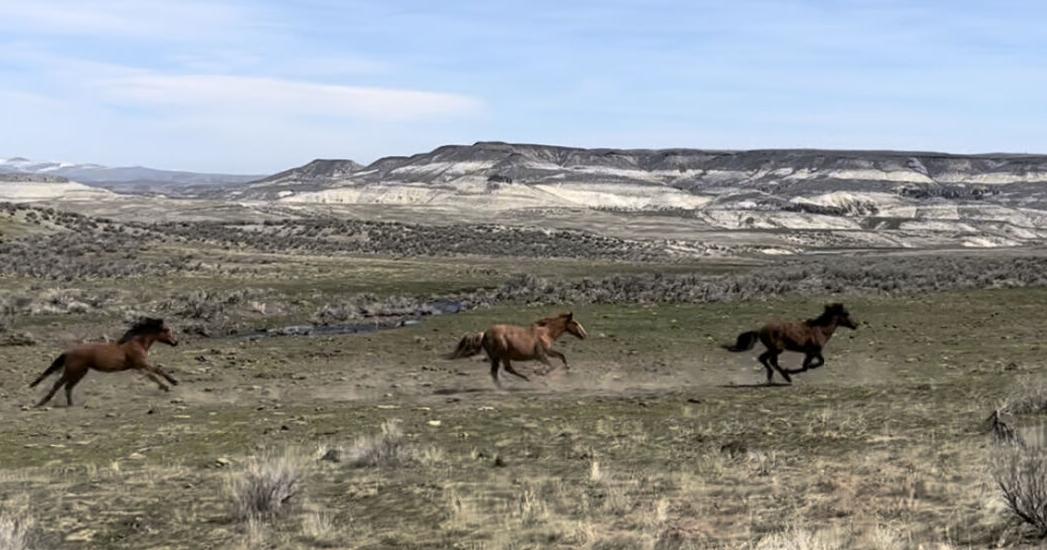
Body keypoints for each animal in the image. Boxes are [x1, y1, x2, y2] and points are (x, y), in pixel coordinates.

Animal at [30, 318, 180, 407]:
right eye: (167, 330)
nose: (175, 343)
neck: (136, 343)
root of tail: (69, 352)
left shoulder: (137, 366)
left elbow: (153, 374)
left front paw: (168, 384)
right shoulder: (141, 364)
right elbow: (157, 371)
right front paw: (170, 384)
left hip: (80, 372)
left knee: (67, 386)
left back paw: (70, 404)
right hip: (73, 371)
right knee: (59, 384)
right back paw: (44, 402)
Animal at [445, 312, 588, 388]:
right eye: (575, 323)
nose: (584, 335)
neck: (545, 332)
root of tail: (484, 334)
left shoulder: (548, 351)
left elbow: (561, 356)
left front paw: (568, 369)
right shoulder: (540, 355)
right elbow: (550, 366)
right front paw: (541, 373)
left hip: (501, 357)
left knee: (503, 370)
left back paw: (520, 380)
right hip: (500, 355)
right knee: (499, 371)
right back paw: (508, 386)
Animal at [723, 303, 857, 385]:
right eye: (846, 314)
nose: (856, 325)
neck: (820, 329)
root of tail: (759, 330)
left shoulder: (811, 352)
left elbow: (808, 365)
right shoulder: (813, 351)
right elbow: (813, 364)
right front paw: (791, 372)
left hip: (773, 349)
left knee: (763, 358)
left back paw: (771, 376)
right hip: (777, 349)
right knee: (771, 361)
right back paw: (786, 377)